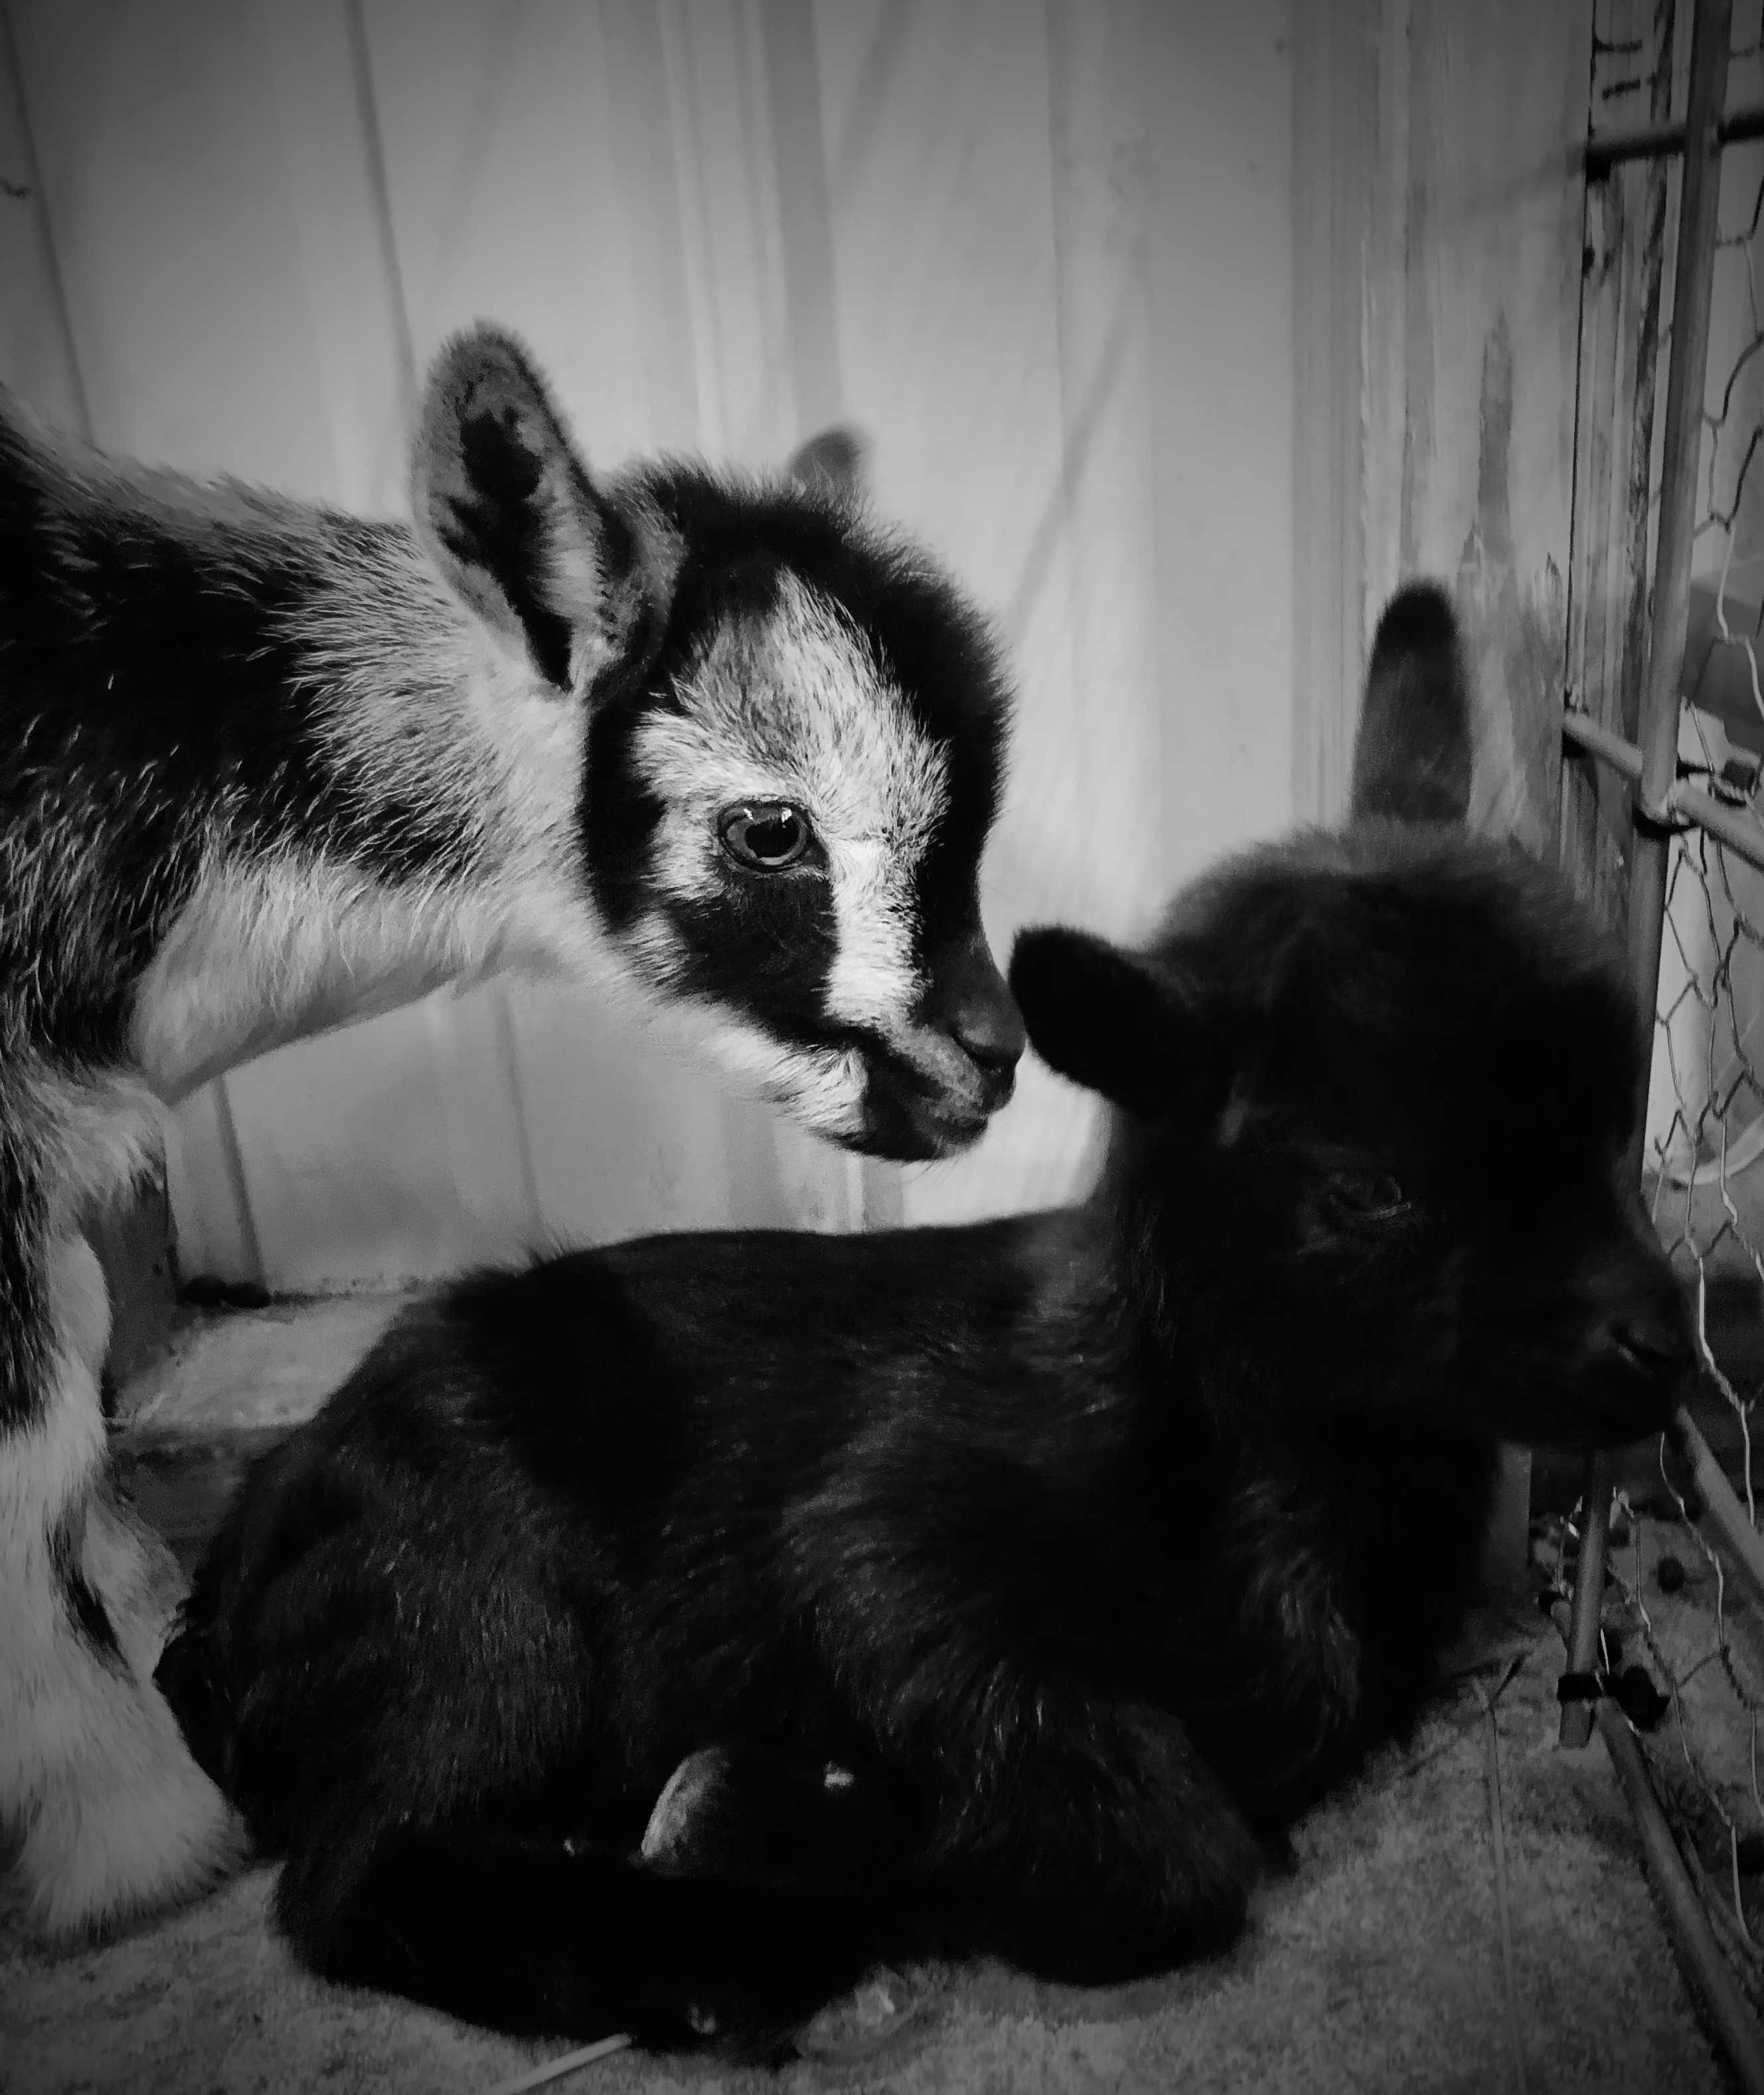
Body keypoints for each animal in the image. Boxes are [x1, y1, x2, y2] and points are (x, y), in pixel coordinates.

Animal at [159, 581, 1689, 2055]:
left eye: (1619, 1109)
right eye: (1369, 1190)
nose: (1657, 1351)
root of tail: (238, 1563)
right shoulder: (884, 1538)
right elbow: (1162, 1837)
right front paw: (754, 1817)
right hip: (479, 1591)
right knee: (360, 1867)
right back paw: (717, 1956)